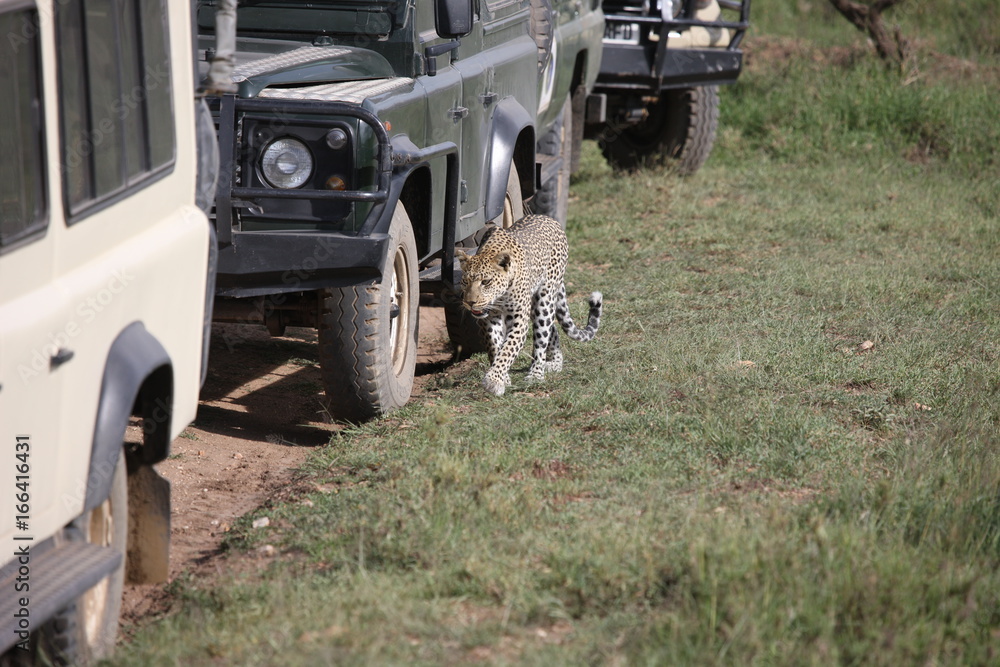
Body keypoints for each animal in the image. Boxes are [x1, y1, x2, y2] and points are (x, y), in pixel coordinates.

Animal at [456, 214, 602, 396]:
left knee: (542, 337)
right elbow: (495, 346)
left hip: (544, 300)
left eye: (486, 282)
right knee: (552, 329)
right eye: (465, 282)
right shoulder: (489, 320)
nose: (470, 302)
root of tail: (549, 218)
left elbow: (508, 349)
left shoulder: (518, 320)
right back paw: (555, 363)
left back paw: (536, 374)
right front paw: (502, 378)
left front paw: (493, 380)